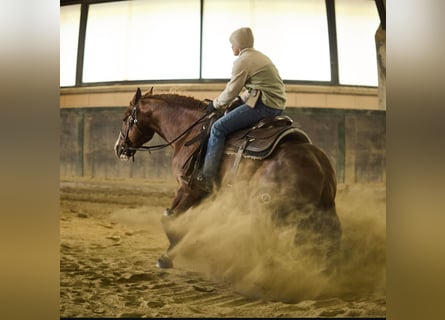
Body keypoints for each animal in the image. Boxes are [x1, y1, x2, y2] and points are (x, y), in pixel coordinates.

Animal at [113, 86, 340, 268]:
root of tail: (319, 165)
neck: (192, 132)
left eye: (125, 118)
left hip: (268, 211)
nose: (118, 148)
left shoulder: (187, 187)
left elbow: (169, 217)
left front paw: (166, 257)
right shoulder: (202, 194)